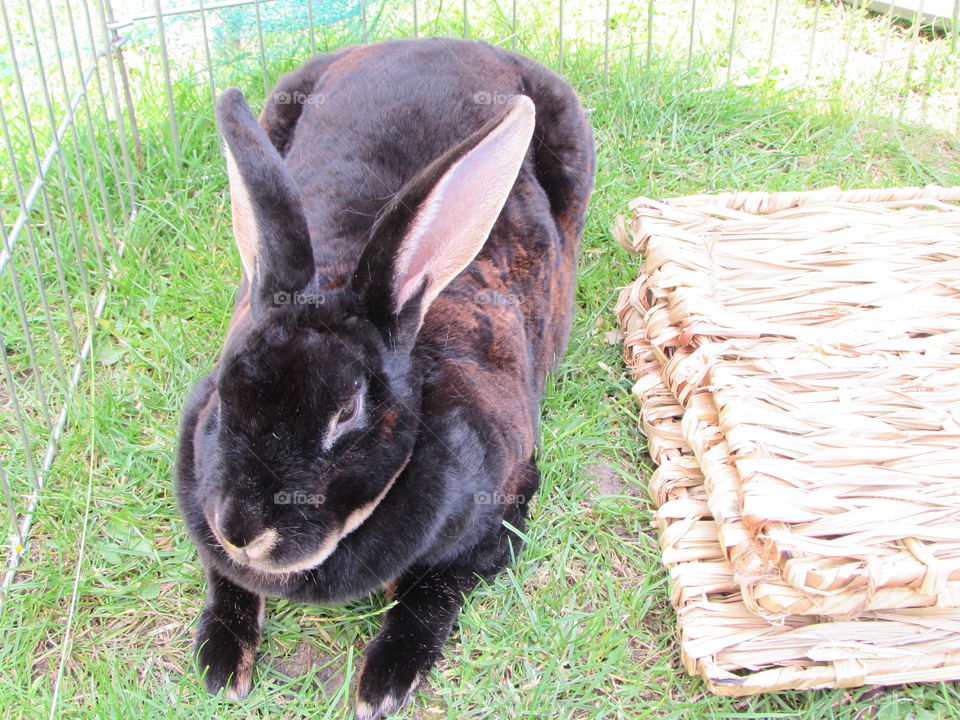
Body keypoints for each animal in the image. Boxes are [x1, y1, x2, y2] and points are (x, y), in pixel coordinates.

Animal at [175, 37, 594, 719]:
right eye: (224, 391)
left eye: (347, 413)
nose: (242, 531)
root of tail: (437, 40)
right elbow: (224, 581)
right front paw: (220, 666)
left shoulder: (501, 507)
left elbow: (431, 594)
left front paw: (383, 685)